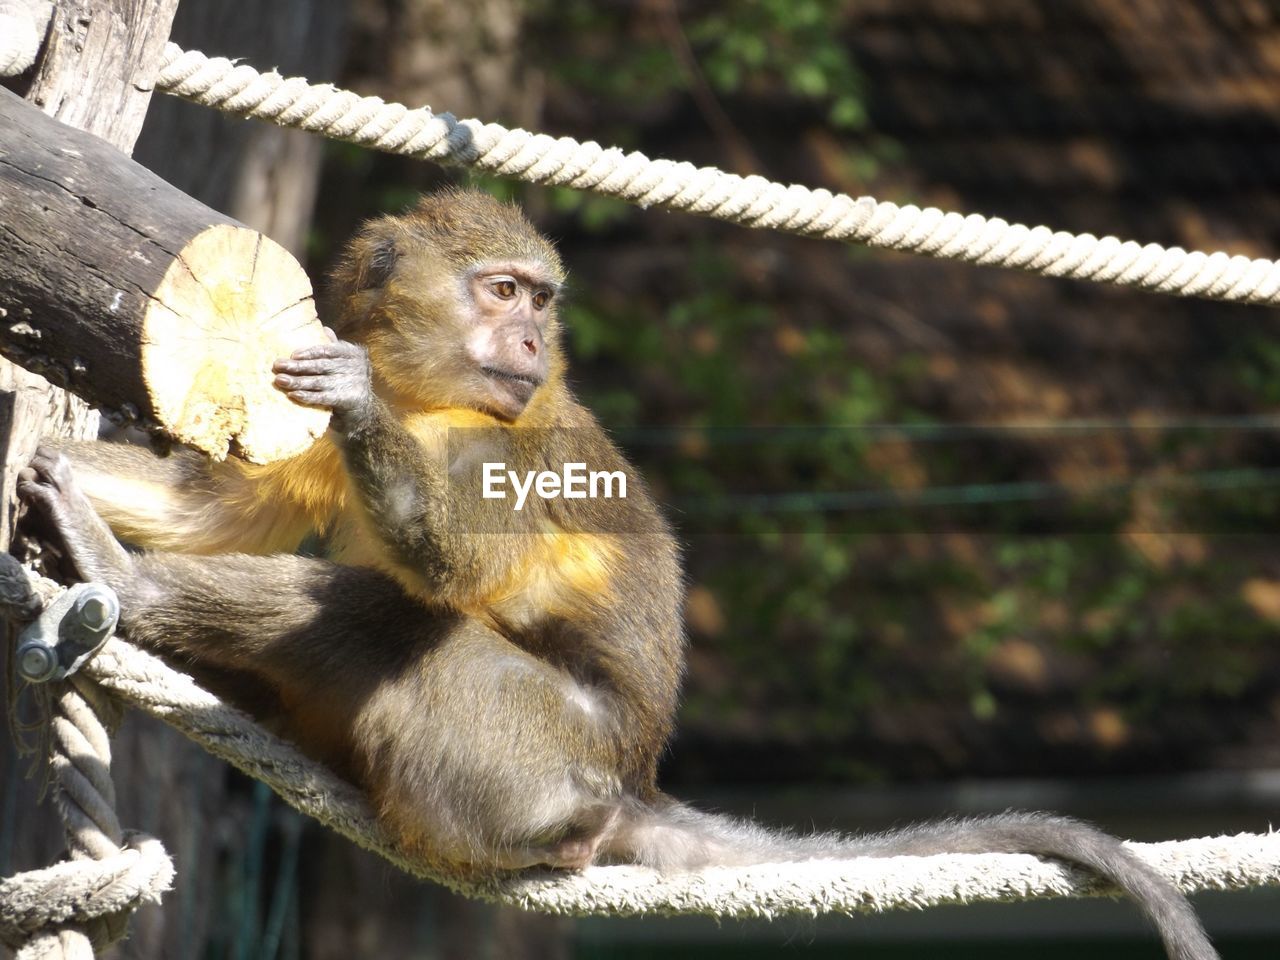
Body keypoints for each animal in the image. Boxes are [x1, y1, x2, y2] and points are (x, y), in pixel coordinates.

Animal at [17, 189, 1208, 960]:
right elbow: (216, 512)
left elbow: (451, 561)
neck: (429, 395)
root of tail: (625, 784)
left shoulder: (494, 445)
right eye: (502, 290)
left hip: (530, 757)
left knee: (381, 622)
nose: (530, 342)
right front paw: (40, 463)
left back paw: (135, 588)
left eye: (537, 301)